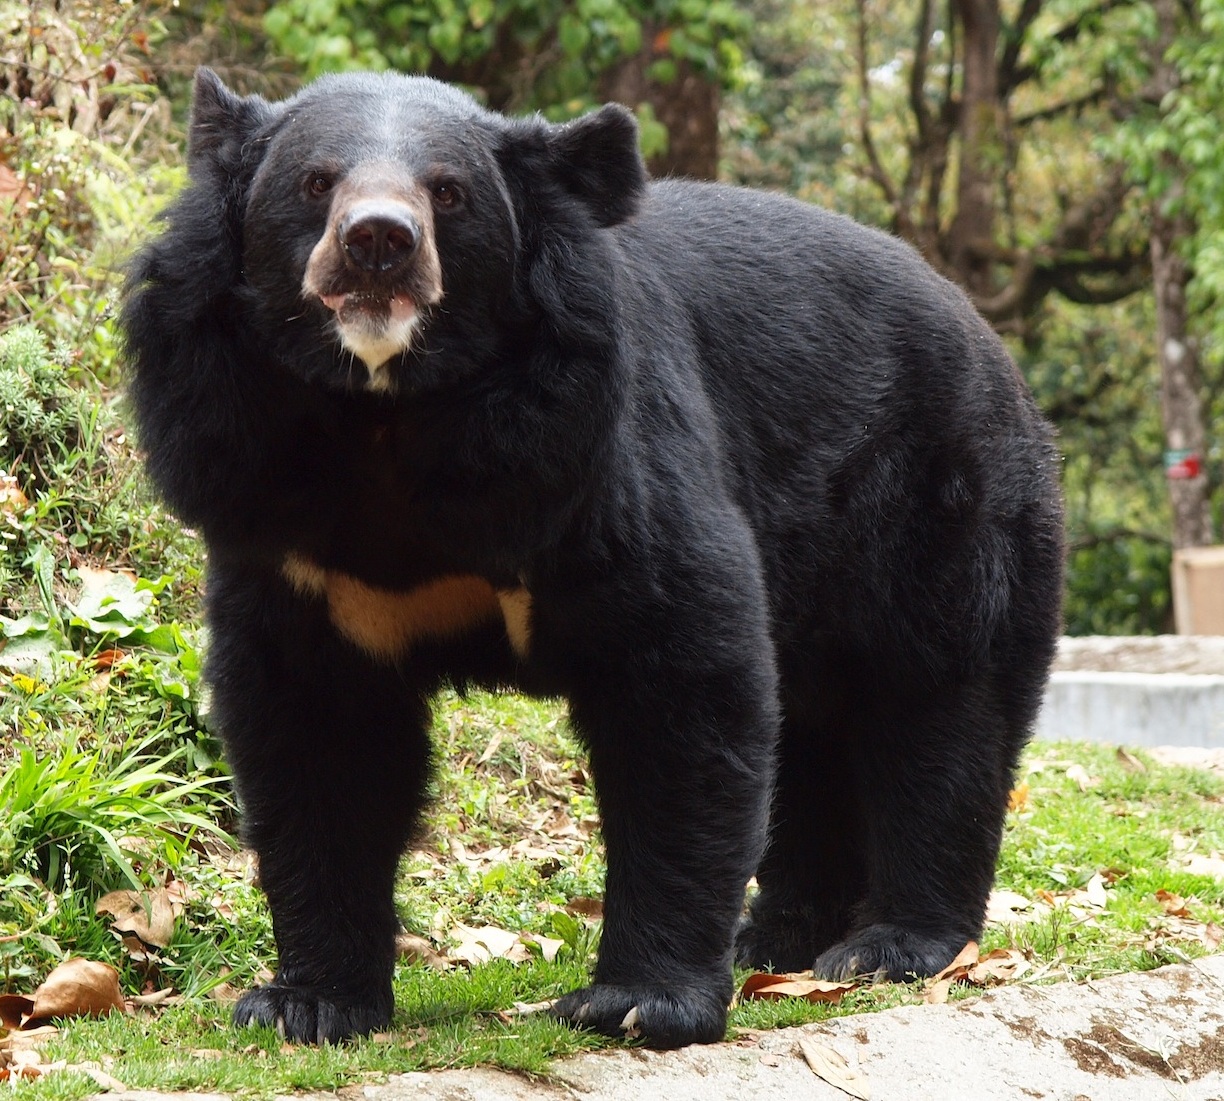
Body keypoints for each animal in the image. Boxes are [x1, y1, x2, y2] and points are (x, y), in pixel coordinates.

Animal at [121, 68, 1064, 1050]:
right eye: (316, 182)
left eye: (447, 193)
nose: (378, 241)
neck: (387, 411)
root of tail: (994, 346)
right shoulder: (278, 515)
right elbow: (316, 729)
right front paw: (304, 1001)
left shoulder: (592, 451)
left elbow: (680, 680)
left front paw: (637, 1000)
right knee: (815, 730)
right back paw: (778, 938)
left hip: (938, 503)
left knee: (936, 705)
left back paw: (893, 944)